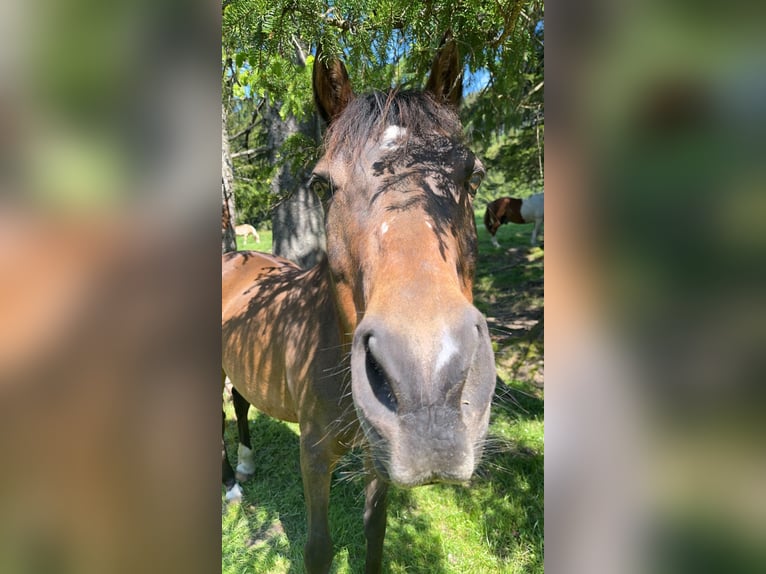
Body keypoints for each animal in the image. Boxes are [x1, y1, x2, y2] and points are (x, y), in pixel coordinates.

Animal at [222, 37, 498, 574]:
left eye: (473, 175)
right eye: (321, 185)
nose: (427, 380)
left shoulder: (379, 456)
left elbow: (375, 529)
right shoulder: (312, 454)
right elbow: (318, 548)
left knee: (241, 402)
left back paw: (245, 463)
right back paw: (229, 484)